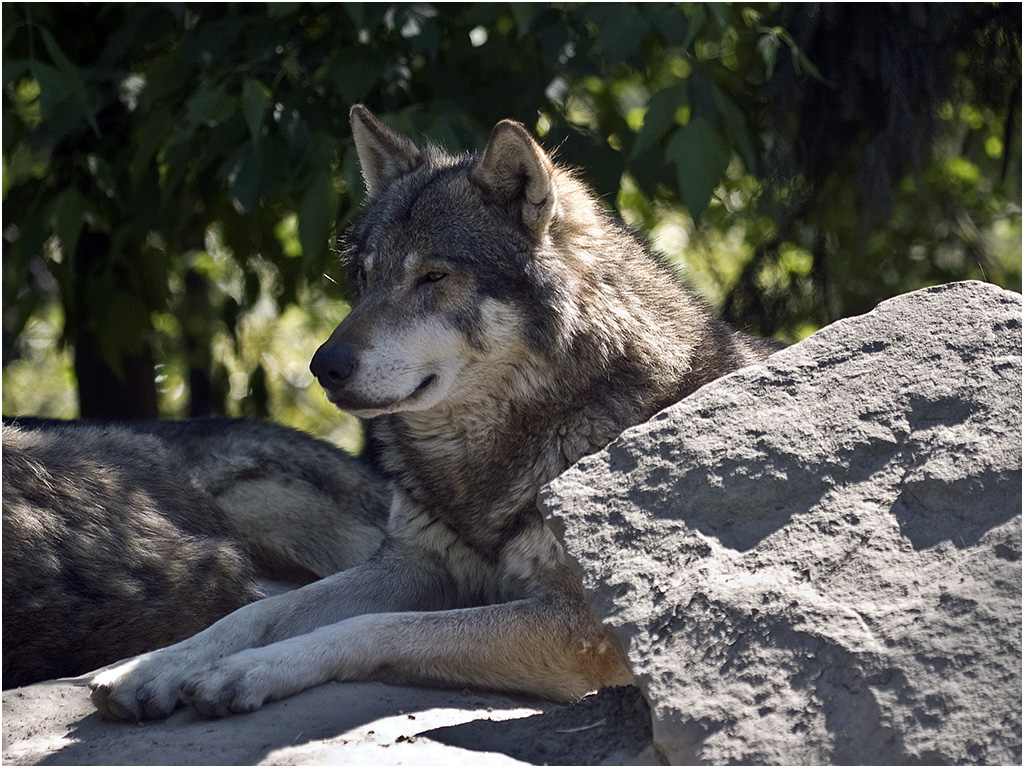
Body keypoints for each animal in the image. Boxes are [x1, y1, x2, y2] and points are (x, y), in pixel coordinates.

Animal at [89, 105, 782, 720]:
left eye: (433, 277)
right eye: (364, 278)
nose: (324, 365)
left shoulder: (586, 625)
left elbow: (380, 627)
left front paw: (247, 671)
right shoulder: (410, 564)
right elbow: (258, 610)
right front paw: (150, 666)